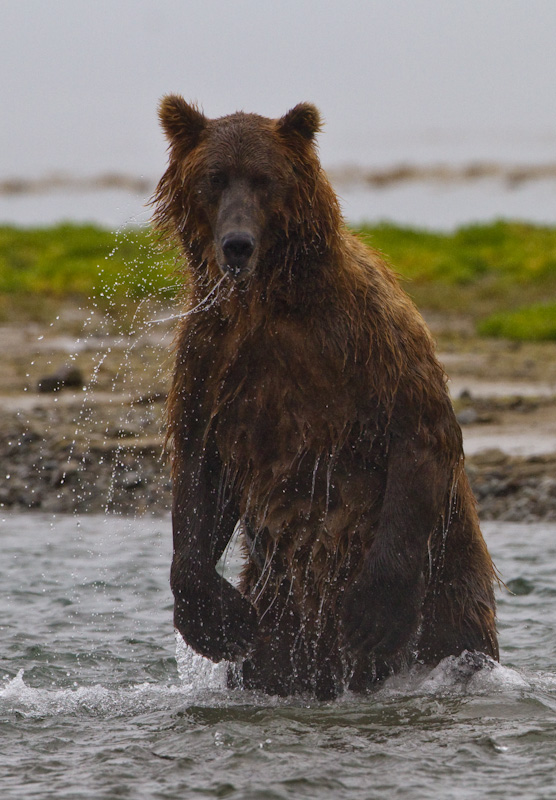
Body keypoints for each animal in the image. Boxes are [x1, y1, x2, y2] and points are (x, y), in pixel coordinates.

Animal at [153, 95, 500, 700]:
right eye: (214, 179)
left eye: (265, 179)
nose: (237, 244)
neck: (267, 299)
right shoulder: (209, 355)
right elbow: (201, 466)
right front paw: (216, 620)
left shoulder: (369, 335)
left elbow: (420, 431)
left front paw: (373, 615)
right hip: (281, 611)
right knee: (270, 655)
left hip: (450, 594)